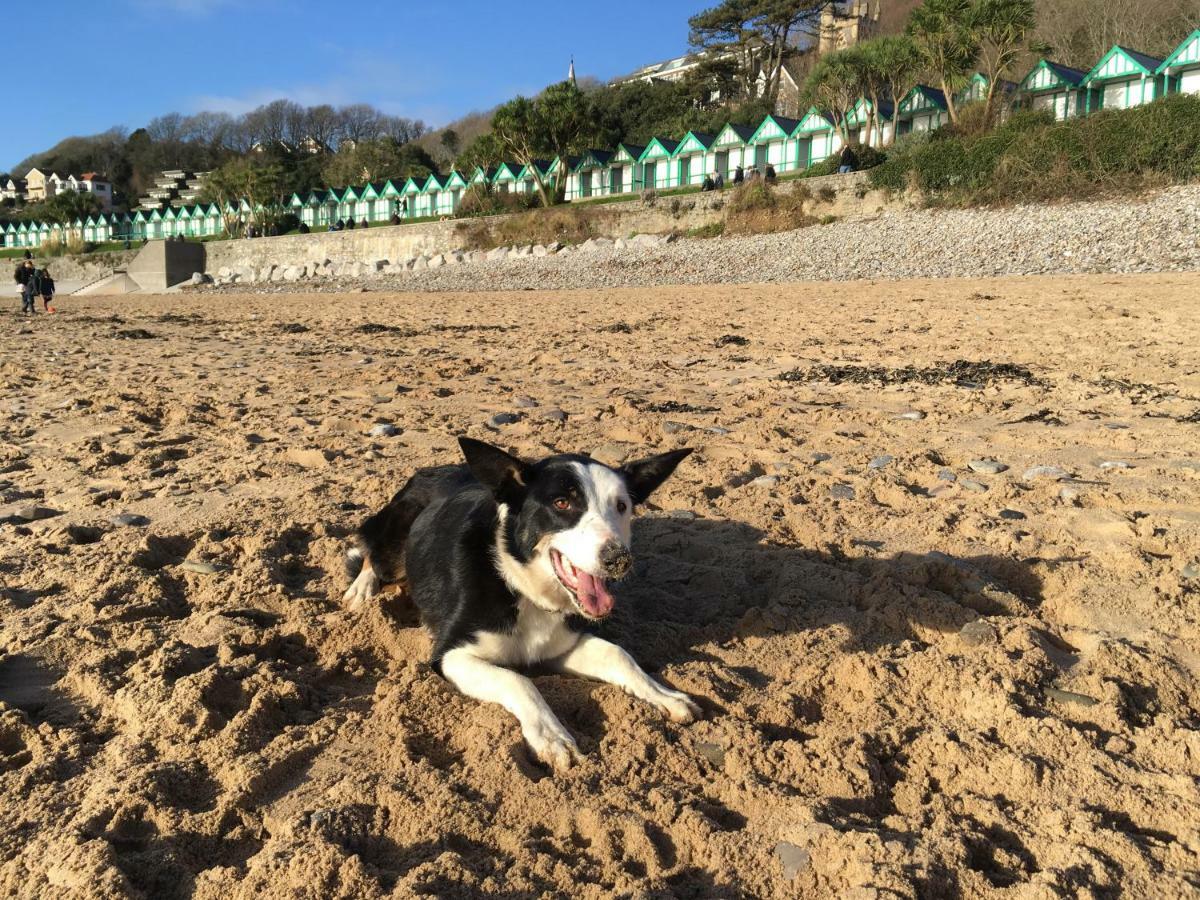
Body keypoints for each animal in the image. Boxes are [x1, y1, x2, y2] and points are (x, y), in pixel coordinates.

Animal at [343, 436, 700, 768]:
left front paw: (663, 694)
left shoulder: (561, 645)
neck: (522, 586)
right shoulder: (450, 656)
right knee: (372, 551)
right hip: (397, 537)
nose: (619, 560)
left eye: (622, 506)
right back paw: (362, 587)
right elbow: (518, 679)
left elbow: (618, 654)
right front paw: (553, 737)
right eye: (561, 503)